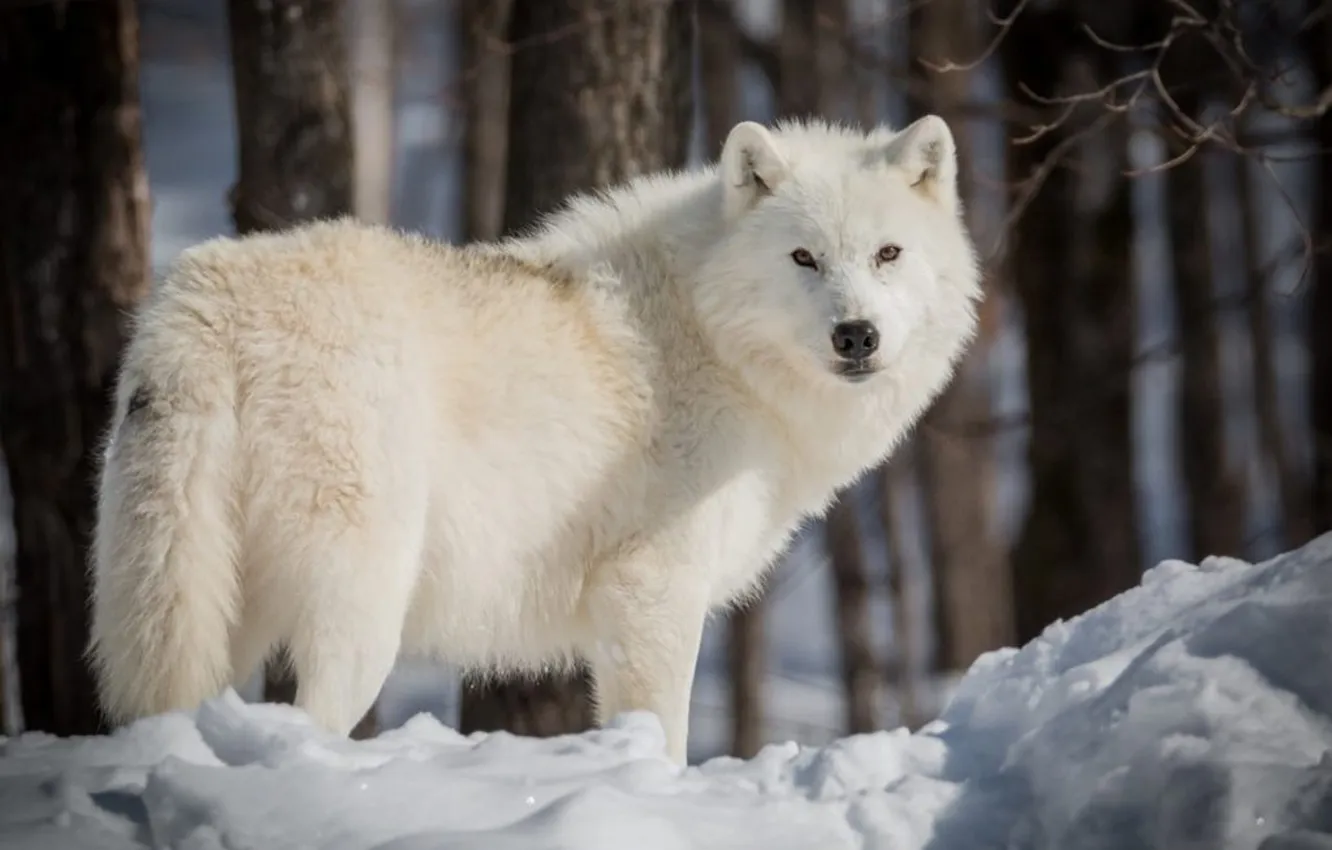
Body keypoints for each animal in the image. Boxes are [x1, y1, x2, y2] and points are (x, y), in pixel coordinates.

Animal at [88, 116, 982, 764]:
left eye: (888, 254)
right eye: (804, 258)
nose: (856, 336)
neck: (710, 337)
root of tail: (201, 305)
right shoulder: (652, 593)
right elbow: (661, 740)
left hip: (211, 609)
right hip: (361, 608)